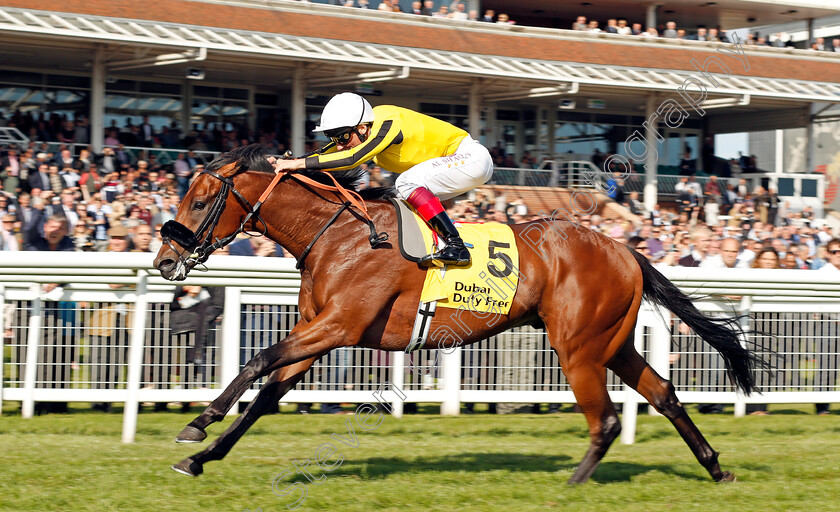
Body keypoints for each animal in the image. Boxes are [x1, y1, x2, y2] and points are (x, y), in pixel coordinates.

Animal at [153, 143, 760, 484]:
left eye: (201, 200)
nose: (164, 261)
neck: (338, 235)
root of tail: (625, 249)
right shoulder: (317, 331)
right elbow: (266, 397)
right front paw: (202, 457)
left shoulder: (338, 326)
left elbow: (258, 361)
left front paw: (197, 423)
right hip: (611, 343)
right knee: (663, 394)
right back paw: (716, 467)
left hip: (578, 347)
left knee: (607, 419)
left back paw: (572, 484)